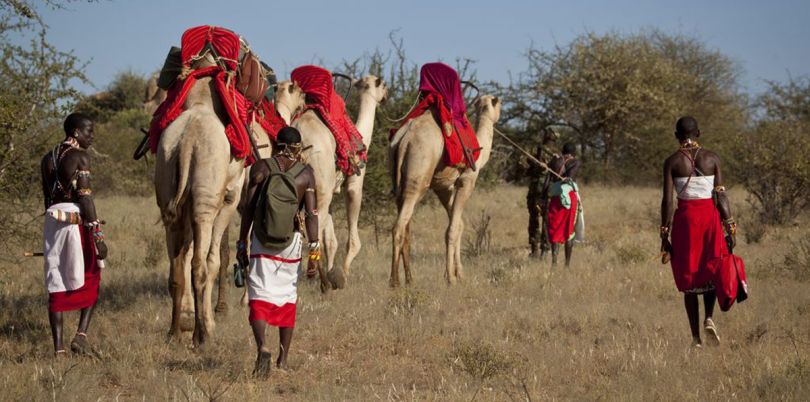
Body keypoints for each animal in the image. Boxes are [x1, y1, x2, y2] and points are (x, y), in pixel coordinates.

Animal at [154, 55, 243, 346]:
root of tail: (187, 143)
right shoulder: (229, 198)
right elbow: (214, 260)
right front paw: (211, 324)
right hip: (205, 198)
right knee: (198, 266)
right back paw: (199, 335)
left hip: (167, 189)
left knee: (176, 270)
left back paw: (174, 332)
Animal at [386, 94, 498, 286]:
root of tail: (404, 140)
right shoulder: (466, 181)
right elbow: (452, 229)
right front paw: (451, 278)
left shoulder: (443, 187)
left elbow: (459, 225)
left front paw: (458, 274)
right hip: (418, 177)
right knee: (399, 228)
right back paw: (395, 282)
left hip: (398, 183)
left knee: (406, 228)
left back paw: (409, 279)